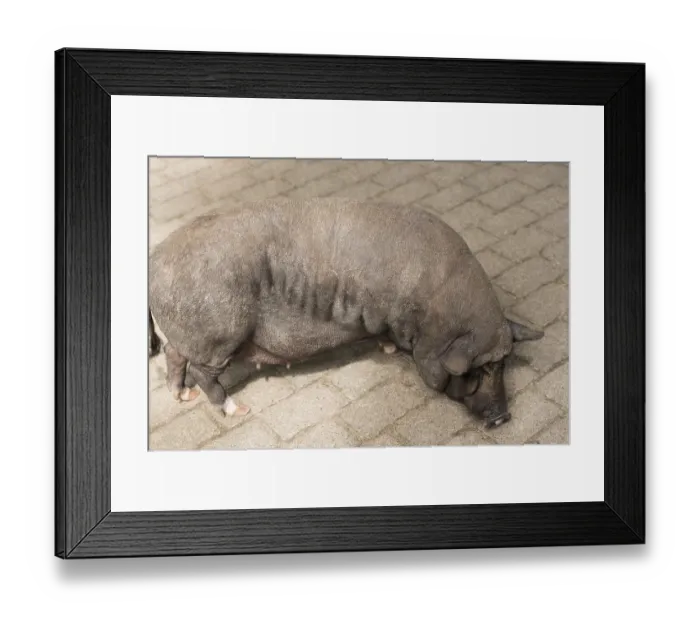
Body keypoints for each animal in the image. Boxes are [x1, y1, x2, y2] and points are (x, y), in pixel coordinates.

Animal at [148, 198, 543, 428]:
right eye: (480, 368)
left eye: (504, 364)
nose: (503, 417)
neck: (434, 314)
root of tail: (155, 258)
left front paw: (387, 348)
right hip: (219, 335)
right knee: (202, 371)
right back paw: (237, 410)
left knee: (172, 354)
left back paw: (182, 397)